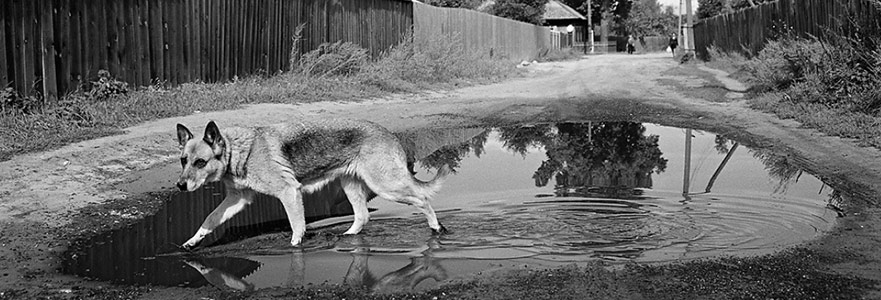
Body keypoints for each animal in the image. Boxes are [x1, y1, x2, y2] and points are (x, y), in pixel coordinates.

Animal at [173, 118, 450, 250]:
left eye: (200, 162)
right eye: (184, 160)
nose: (180, 186)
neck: (237, 151)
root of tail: (389, 134)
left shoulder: (289, 192)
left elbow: (297, 226)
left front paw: (296, 246)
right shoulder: (236, 199)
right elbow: (210, 219)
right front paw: (192, 241)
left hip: (386, 186)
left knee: (423, 200)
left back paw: (437, 228)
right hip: (351, 186)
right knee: (362, 216)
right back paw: (347, 236)